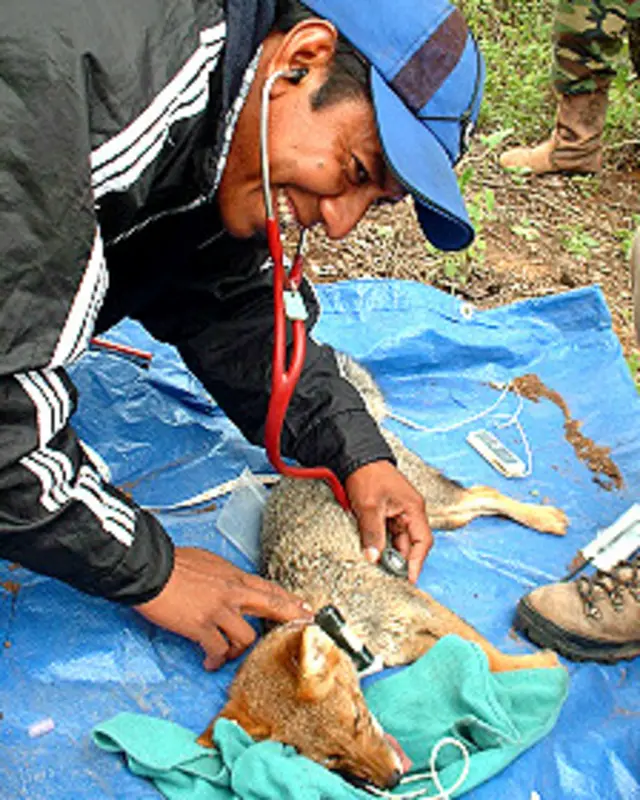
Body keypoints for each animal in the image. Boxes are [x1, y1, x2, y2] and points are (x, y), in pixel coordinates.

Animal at [198, 355, 567, 789]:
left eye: (358, 719)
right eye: (332, 760)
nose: (391, 780)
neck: (345, 622)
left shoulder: (419, 605)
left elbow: (489, 654)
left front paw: (539, 668)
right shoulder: (408, 643)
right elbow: (476, 653)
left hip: (428, 503)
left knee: (483, 492)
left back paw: (545, 518)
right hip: (441, 519)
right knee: (476, 504)